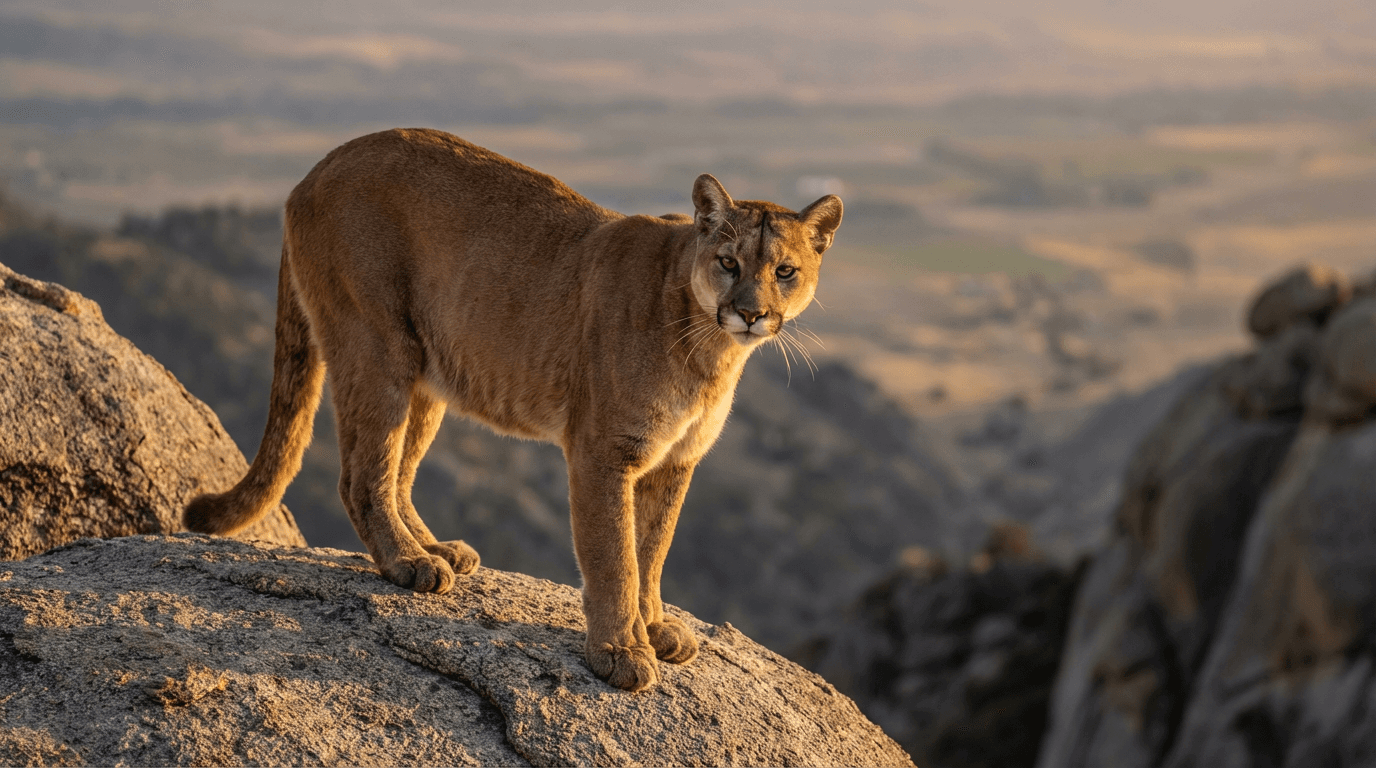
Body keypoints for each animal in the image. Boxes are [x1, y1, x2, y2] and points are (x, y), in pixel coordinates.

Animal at [184, 128, 842, 691]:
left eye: (785, 270)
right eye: (729, 262)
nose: (751, 313)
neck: (709, 349)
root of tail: (314, 170)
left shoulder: (675, 461)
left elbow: (653, 549)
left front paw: (653, 628)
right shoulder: (603, 453)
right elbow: (615, 556)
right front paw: (620, 652)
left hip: (426, 372)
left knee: (397, 469)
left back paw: (436, 549)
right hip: (377, 345)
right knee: (360, 476)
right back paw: (407, 563)